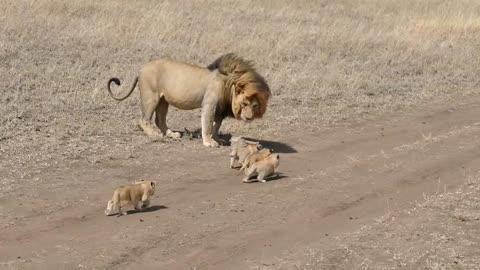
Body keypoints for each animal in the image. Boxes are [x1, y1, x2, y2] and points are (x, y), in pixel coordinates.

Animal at [107, 51, 270, 147]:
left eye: (255, 106)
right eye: (245, 103)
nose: (249, 118)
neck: (228, 84)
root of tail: (141, 68)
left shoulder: (220, 109)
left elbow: (216, 126)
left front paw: (217, 139)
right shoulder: (209, 104)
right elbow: (207, 124)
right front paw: (209, 142)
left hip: (163, 100)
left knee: (160, 120)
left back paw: (172, 134)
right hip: (151, 96)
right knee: (144, 120)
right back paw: (154, 135)